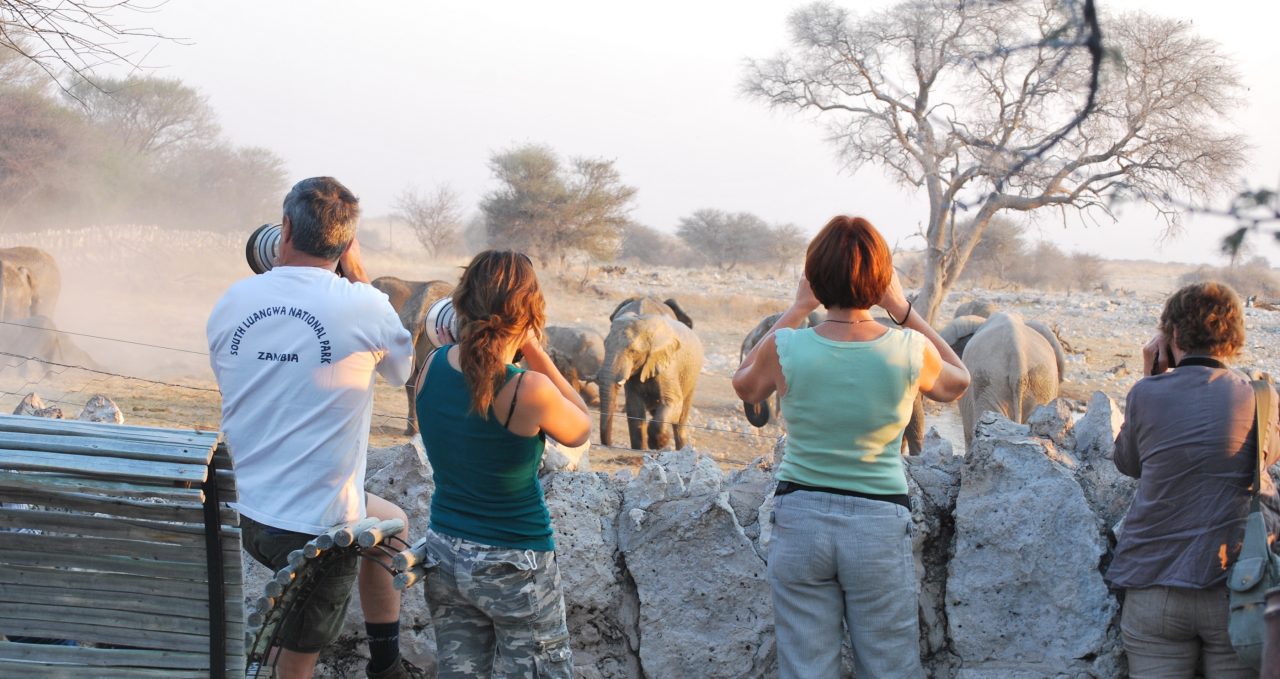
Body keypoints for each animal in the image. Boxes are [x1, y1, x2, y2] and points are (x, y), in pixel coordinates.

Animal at [596, 310, 706, 448]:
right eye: (605, 345)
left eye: (633, 351)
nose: (608, 444)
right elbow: (634, 407)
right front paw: (641, 449)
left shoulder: (668, 366)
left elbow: (672, 401)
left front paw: (659, 443)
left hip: (691, 378)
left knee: (681, 418)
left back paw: (681, 447)